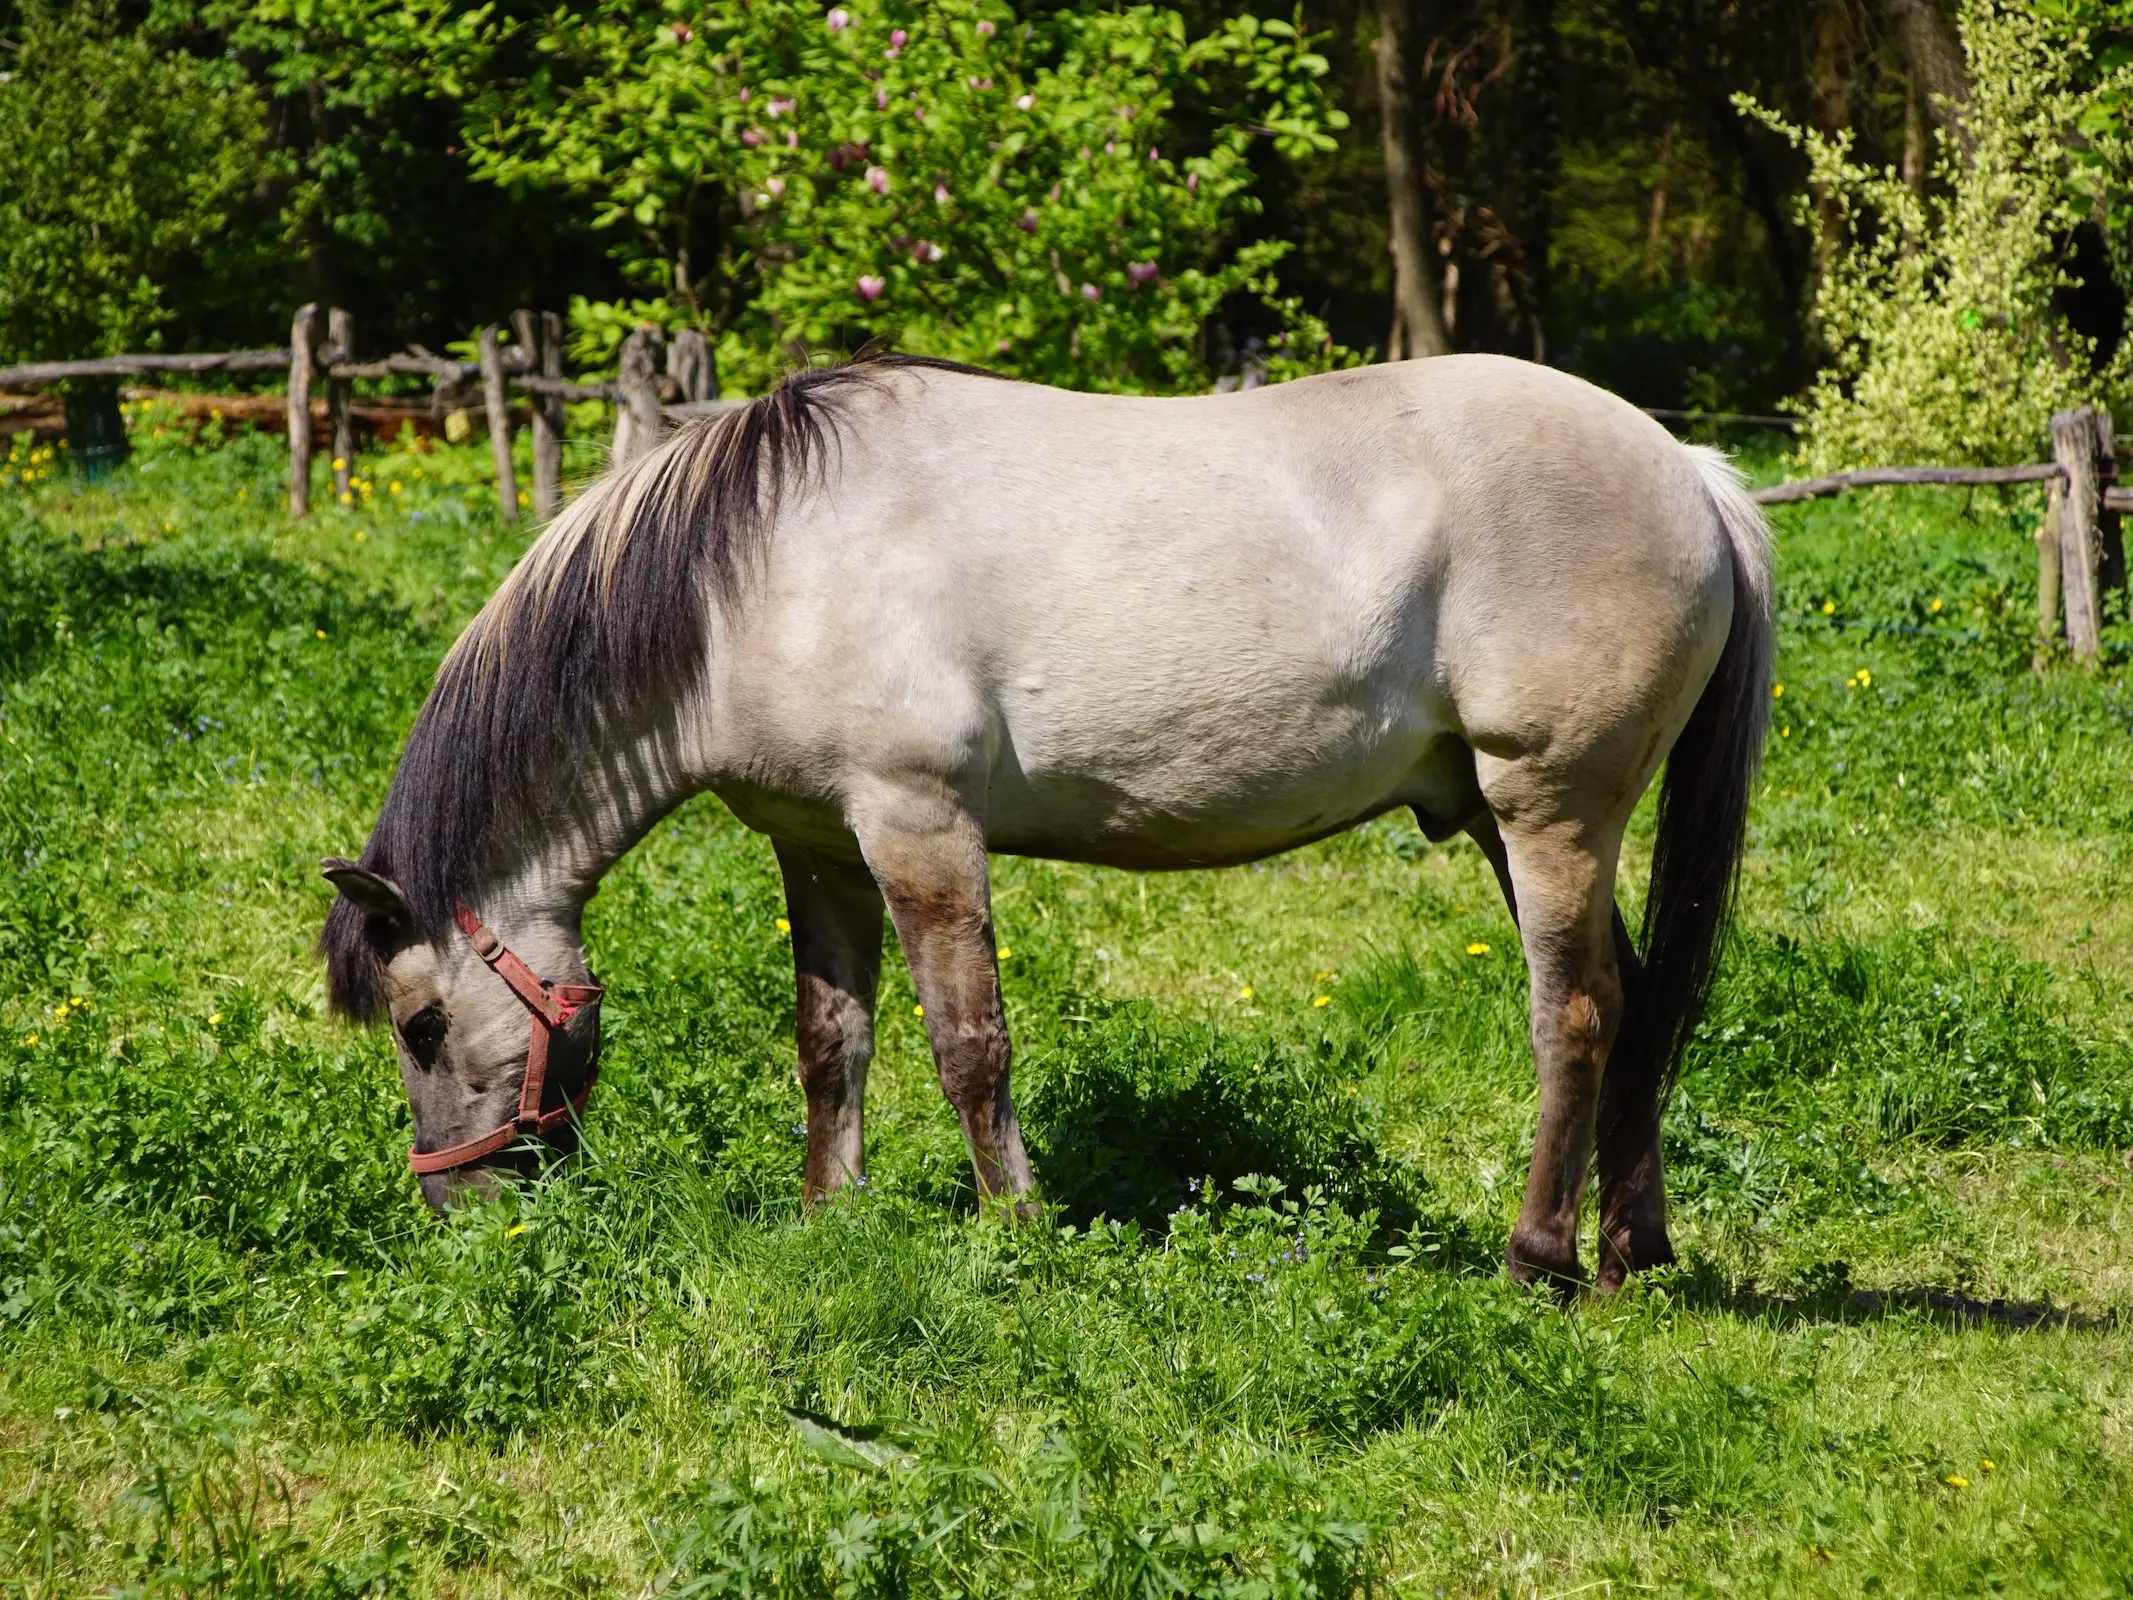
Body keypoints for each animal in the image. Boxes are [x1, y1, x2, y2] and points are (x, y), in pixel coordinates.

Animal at [315, 349, 1774, 1288]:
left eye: (422, 1023)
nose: (454, 1204)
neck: (756, 570)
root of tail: (1690, 469)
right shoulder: (821, 847)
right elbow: (832, 1044)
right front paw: (830, 1218)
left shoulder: (918, 828)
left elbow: (971, 1047)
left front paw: (1013, 1231)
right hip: (1504, 817)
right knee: (1639, 1000)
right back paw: (1633, 1251)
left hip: (1550, 807)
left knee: (1574, 1011)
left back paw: (1539, 1256)